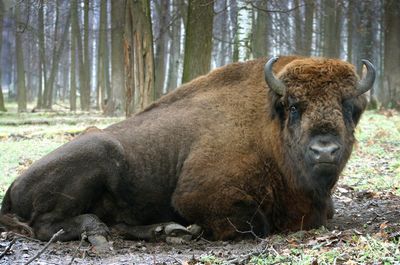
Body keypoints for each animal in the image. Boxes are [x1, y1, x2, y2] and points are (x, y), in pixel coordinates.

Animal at [0, 55, 376, 245]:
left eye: (348, 107)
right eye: (294, 106)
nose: (325, 150)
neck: (269, 126)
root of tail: (12, 187)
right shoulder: (199, 196)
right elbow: (256, 223)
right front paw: (201, 230)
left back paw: (165, 231)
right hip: (97, 149)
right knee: (45, 224)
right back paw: (96, 229)